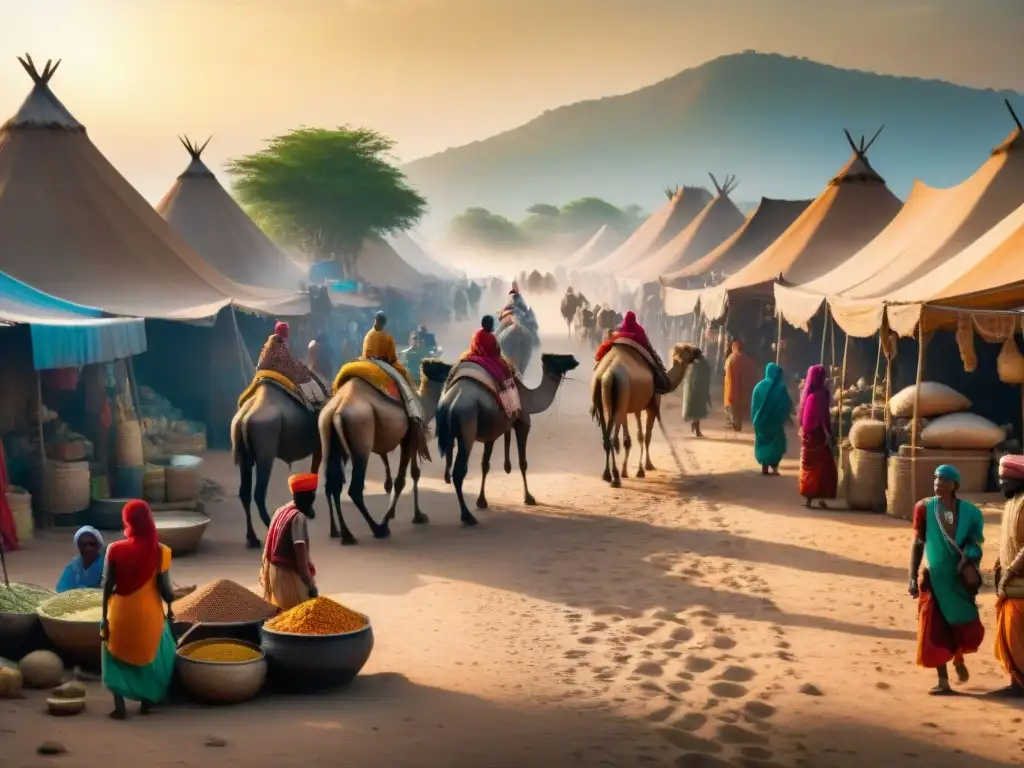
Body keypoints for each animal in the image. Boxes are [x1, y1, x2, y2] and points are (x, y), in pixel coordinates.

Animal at [231, 385, 319, 548]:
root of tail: (244, 419)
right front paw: (310, 511)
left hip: (243, 452)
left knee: (244, 492)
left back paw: (252, 538)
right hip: (266, 450)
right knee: (259, 492)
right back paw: (271, 527)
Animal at [317, 360, 450, 544]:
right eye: (441, 366)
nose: (452, 368)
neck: (422, 403)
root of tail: (336, 411)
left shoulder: (411, 437)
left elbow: (414, 473)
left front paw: (418, 515)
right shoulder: (409, 435)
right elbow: (401, 481)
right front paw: (389, 518)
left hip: (329, 439)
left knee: (331, 484)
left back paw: (340, 532)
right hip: (361, 437)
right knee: (354, 489)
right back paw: (377, 529)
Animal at [434, 356, 581, 528]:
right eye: (559, 358)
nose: (574, 360)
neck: (528, 396)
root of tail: (450, 404)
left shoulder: (490, 432)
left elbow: (485, 465)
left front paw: (482, 501)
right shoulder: (523, 422)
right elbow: (523, 463)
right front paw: (529, 498)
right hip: (467, 426)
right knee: (458, 472)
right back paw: (467, 516)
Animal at [593, 342, 704, 487]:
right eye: (687, 348)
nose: (699, 351)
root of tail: (607, 374)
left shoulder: (635, 407)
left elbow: (636, 437)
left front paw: (628, 471)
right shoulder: (652, 406)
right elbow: (647, 437)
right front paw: (646, 466)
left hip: (604, 402)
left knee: (607, 437)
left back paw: (606, 475)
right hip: (620, 398)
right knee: (613, 438)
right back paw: (615, 477)